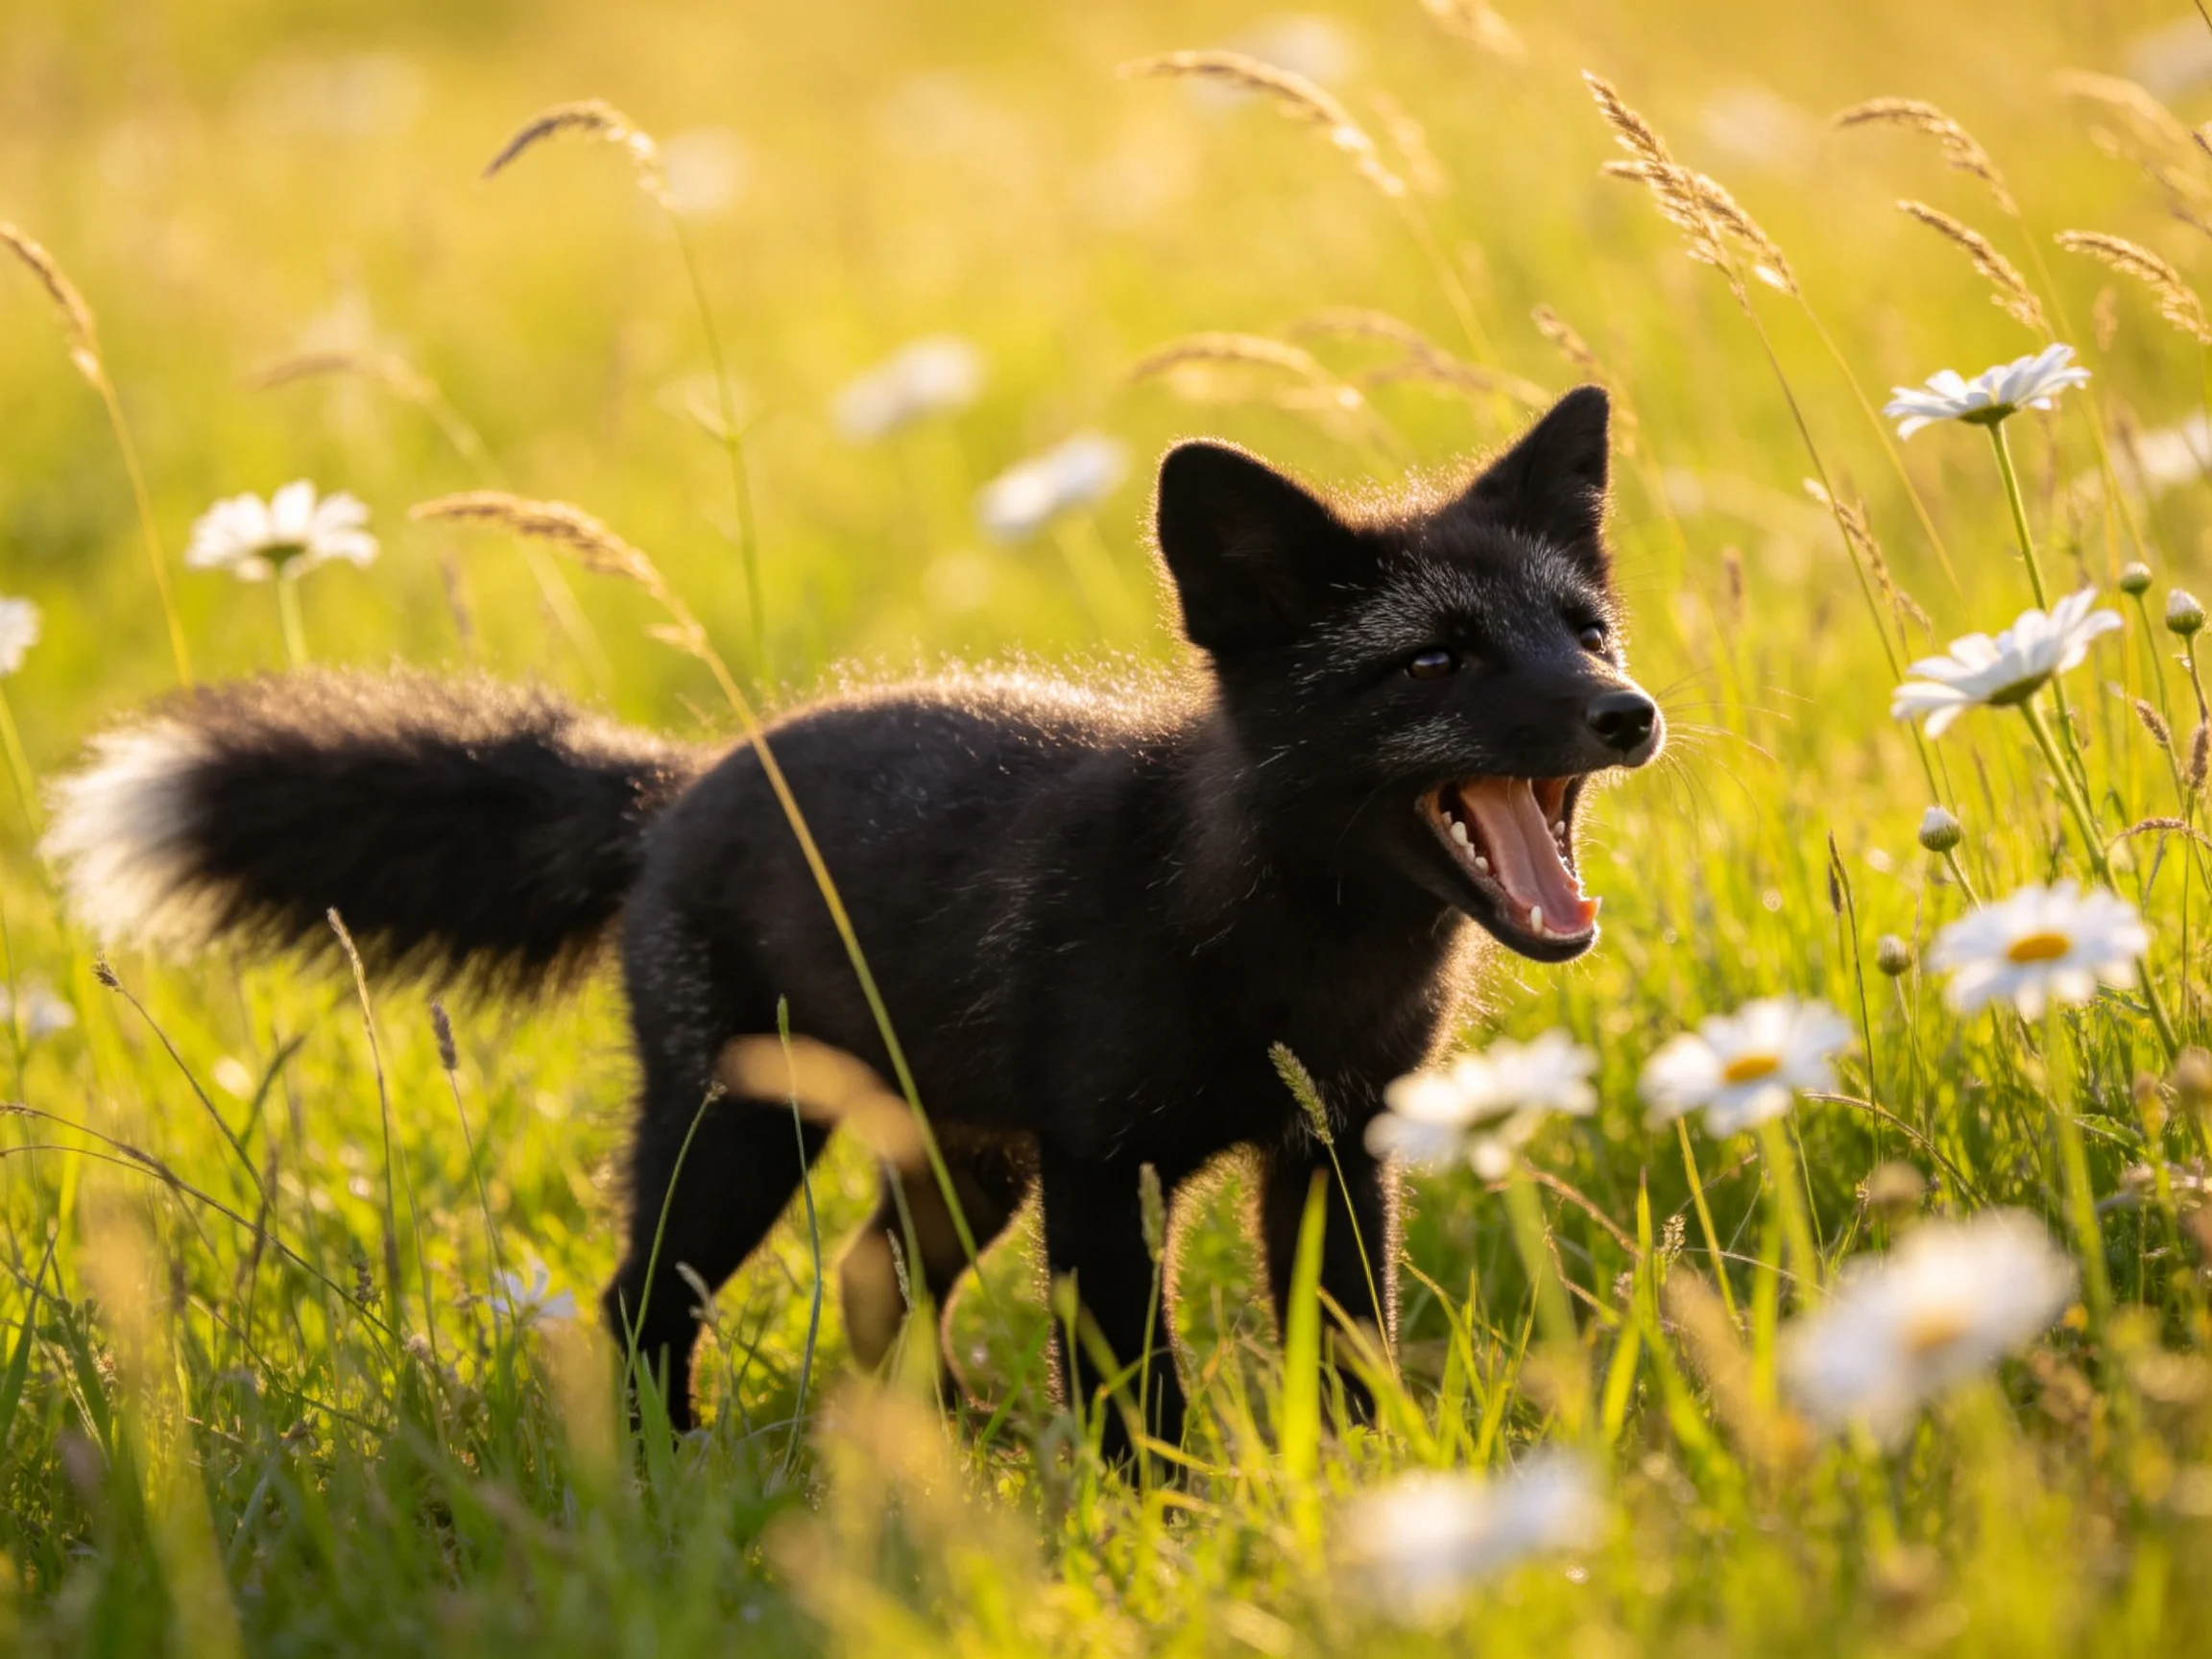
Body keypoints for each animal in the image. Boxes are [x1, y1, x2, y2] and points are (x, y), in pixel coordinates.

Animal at [42, 384, 1660, 1465]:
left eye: (1584, 631)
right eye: (1433, 661)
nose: (1629, 713)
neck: (1290, 957)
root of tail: (685, 780)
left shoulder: (1334, 1143)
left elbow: (1347, 1351)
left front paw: (1373, 1501)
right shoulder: (1104, 1165)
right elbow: (1134, 1391)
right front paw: (1168, 1528)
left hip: (961, 1166)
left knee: (869, 1285)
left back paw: (939, 1451)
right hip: (736, 1145)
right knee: (635, 1308)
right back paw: (675, 1483)